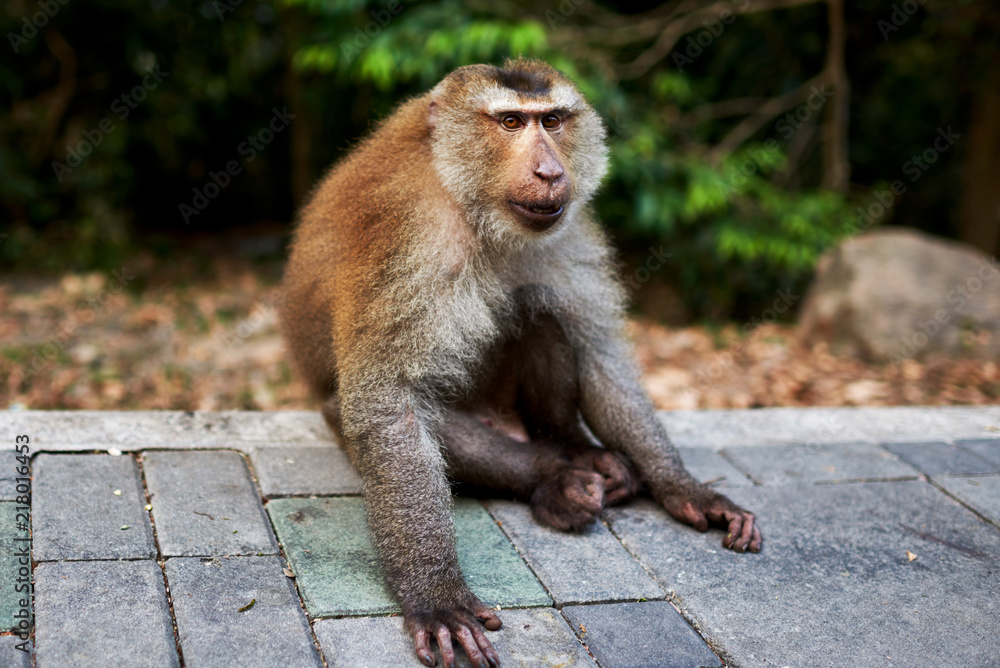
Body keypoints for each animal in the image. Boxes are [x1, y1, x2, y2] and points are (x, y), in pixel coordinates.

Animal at [279, 58, 762, 668]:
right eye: (510, 122)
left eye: (551, 121)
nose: (551, 171)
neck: (470, 202)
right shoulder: (409, 239)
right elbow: (390, 407)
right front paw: (435, 592)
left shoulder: (570, 230)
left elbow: (601, 353)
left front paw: (683, 487)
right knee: (360, 408)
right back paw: (556, 477)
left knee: (539, 305)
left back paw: (578, 449)